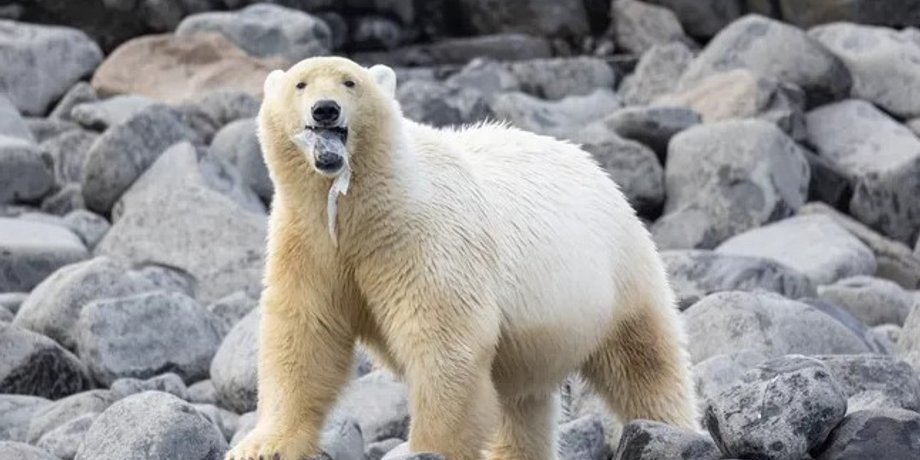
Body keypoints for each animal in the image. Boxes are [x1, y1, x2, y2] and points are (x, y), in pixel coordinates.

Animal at [227, 56, 697, 460]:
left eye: (350, 82)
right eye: (300, 84)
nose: (325, 110)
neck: (364, 208)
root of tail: (594, 166)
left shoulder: (421, 239)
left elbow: (445, 341)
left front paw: (429, 449)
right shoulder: (310, 242)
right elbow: (305, 334)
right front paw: (262, 446)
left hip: (616, 270)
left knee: (645, 362)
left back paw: (671, 428)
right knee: (522, 401)